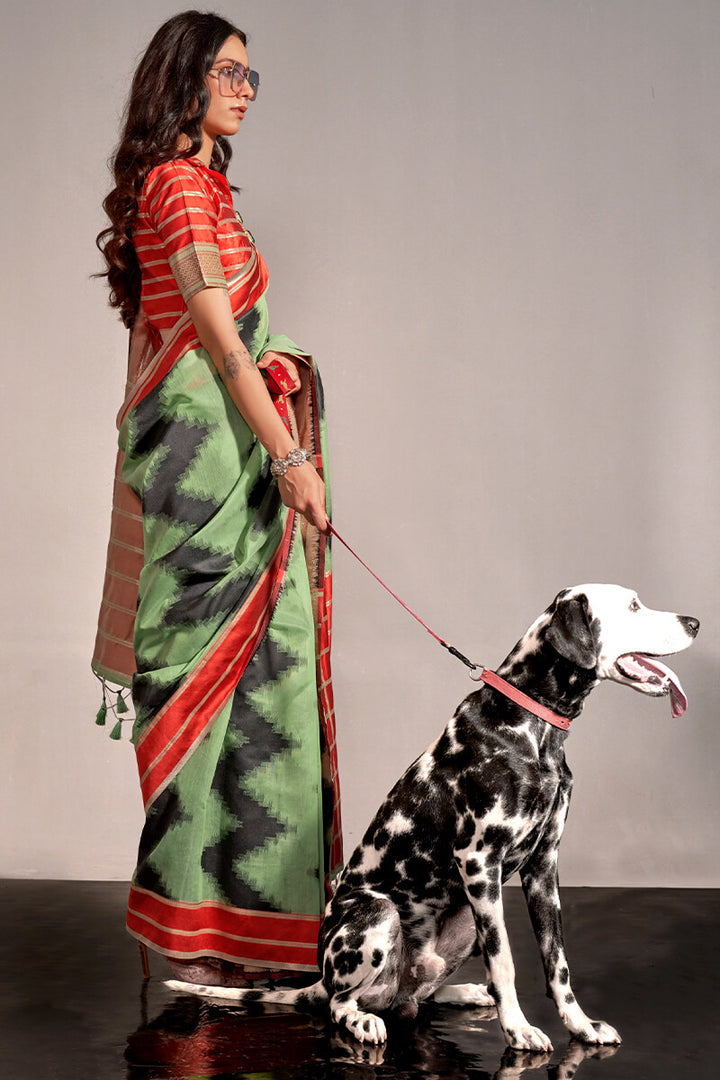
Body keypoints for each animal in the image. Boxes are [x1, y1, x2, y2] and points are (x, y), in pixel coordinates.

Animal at [167, 587, 699, 1049]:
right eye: (633, 605)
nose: (695, 622)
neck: (533, 728)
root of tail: (320, 977)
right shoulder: (480, 863)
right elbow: (505, 961)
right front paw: (519, 1030)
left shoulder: (543, 867)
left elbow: (557, 963)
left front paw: (581, 1026)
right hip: (382, 913)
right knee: (343, 1004)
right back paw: (363, 1020)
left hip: (463, 920)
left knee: (415, 997)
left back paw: (462, 993)